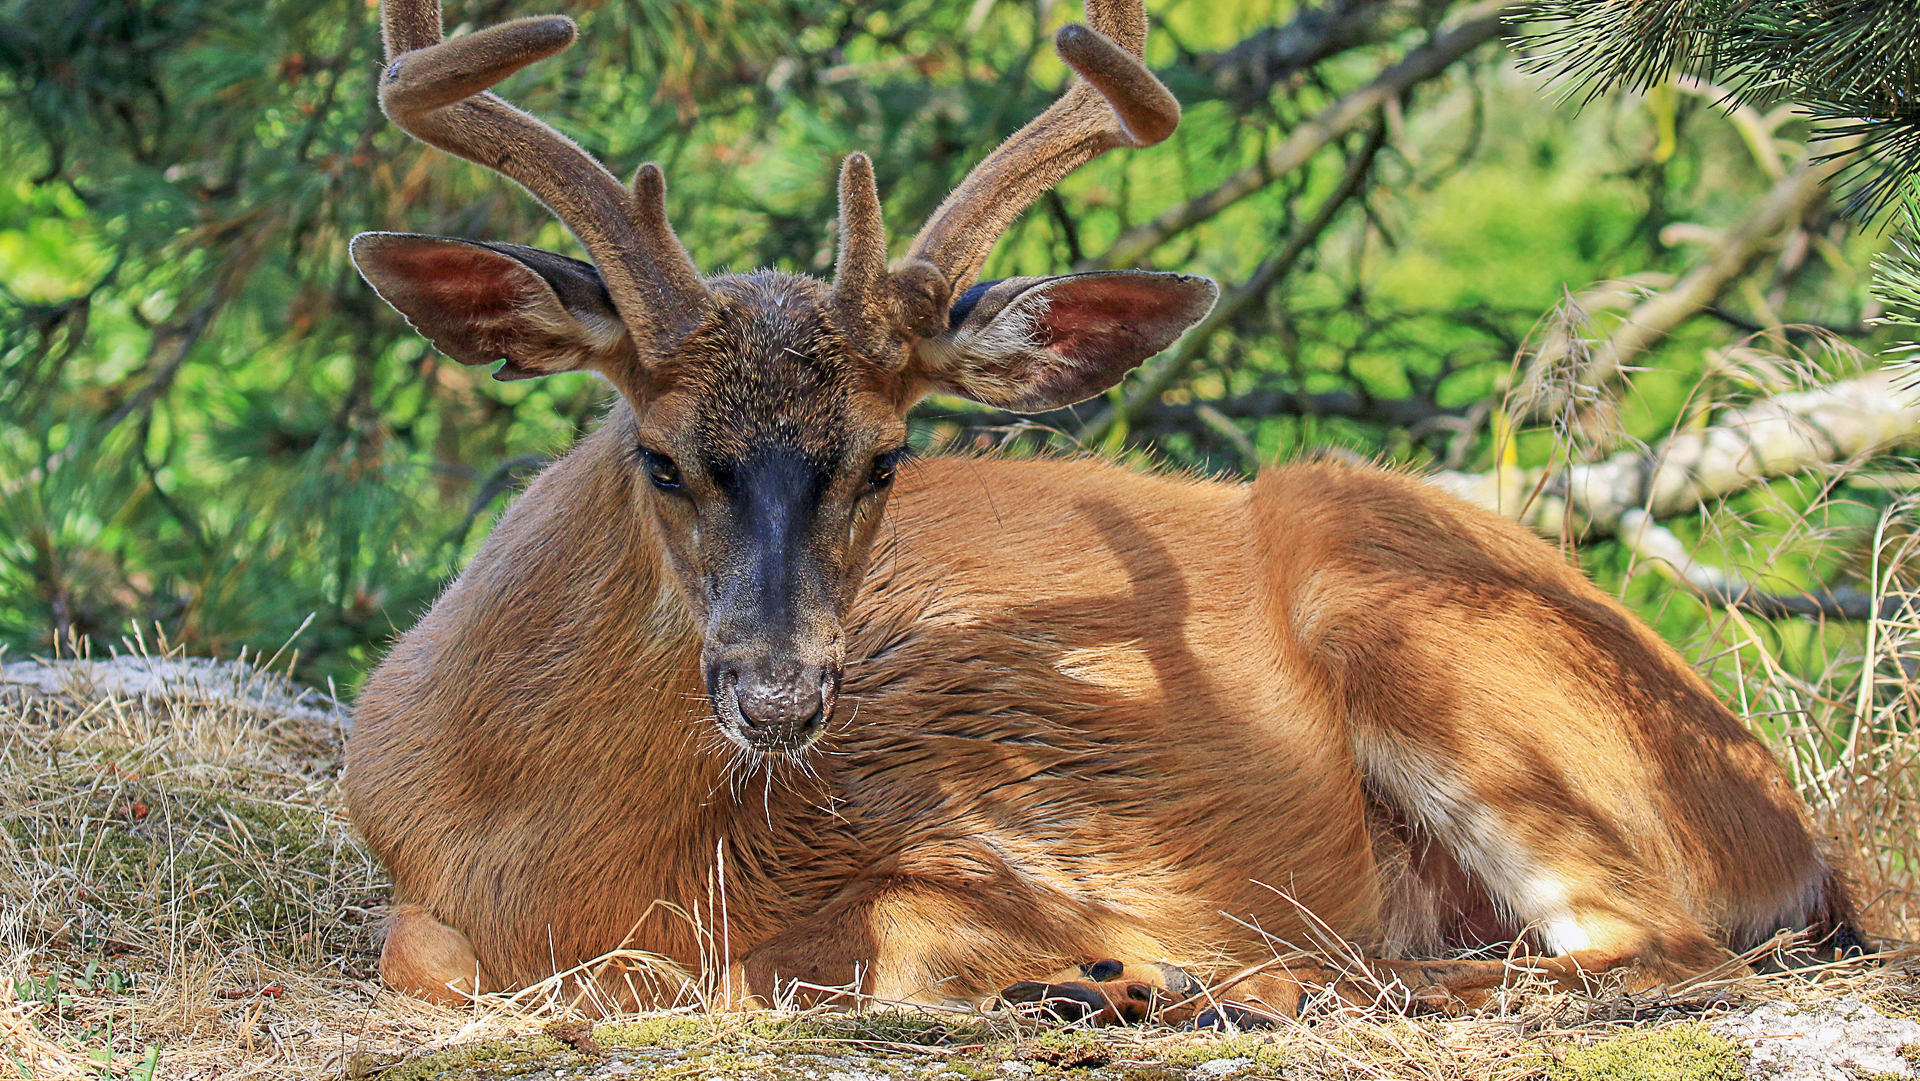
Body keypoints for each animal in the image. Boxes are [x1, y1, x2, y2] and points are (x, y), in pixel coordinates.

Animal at [344, 0, 1859, 1024]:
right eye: (660, 456)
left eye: (887, 458)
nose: (780, 693)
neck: (565, 864)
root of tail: (1786, 817)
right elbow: (420, 956)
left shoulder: (1016, 846)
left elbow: (878, 943)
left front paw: (1119, 971)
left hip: (1454, 651)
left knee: (1652, 947)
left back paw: (1214, 985)